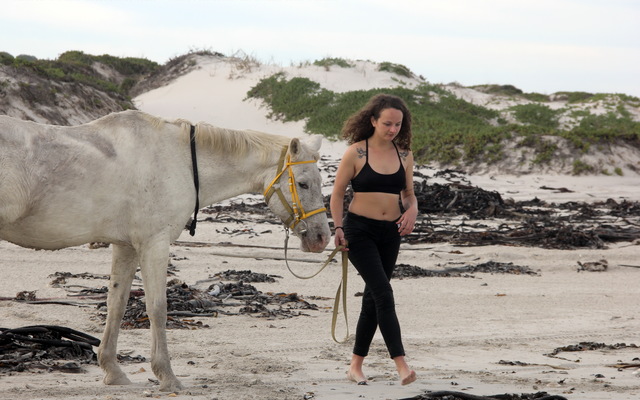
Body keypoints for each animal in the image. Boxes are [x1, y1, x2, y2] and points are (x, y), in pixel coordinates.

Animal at [0, 110, 331, 391]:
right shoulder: (155, 243)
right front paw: (167, 376)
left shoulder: (126, 246)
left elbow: (116, 304)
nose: (321, 238)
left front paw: (112, 371)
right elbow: (158, 308)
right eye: (303, 184)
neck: (180, 160)